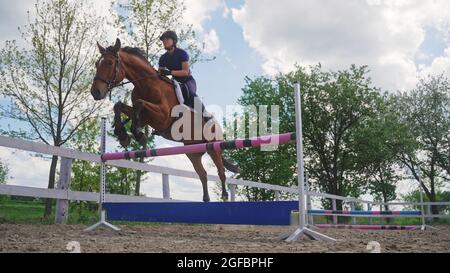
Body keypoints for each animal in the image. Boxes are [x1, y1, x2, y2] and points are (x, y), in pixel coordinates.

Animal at [90, 37, 241, 201]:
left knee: (221, 172)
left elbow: (139, 103)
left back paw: (225, 195)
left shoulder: (162, 117)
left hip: (214, 148)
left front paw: (137, 134)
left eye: (110, 63)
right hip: (193, 152)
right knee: (203, 175)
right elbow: (119, 106)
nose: (95, 92)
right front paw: (123, 134)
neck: (146, 84)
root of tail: (217, 125)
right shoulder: (146, 118)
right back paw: (206, 199)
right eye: (97, 64)